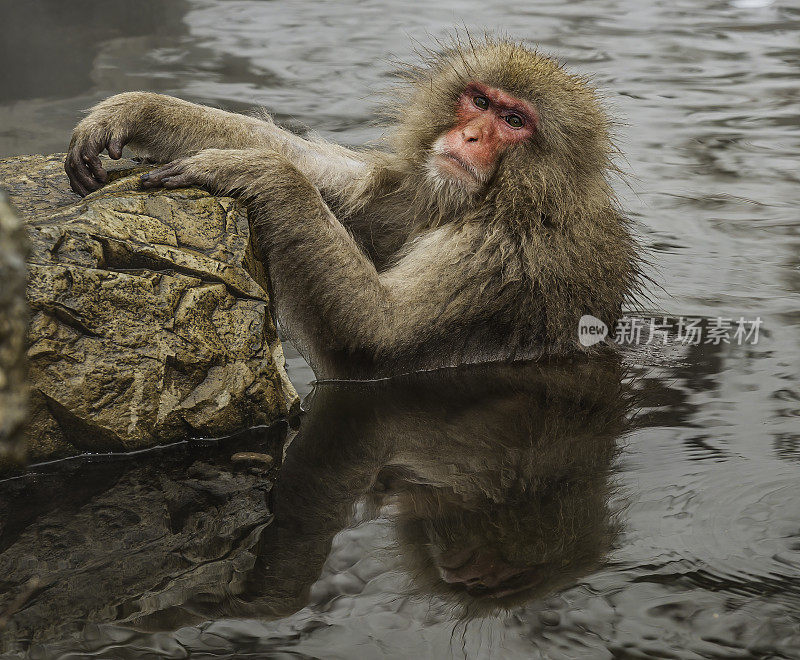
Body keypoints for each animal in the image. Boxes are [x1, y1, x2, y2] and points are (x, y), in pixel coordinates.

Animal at [65, 38, 640, 378]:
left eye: (515, 121)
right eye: (480, 102)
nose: (472, 136)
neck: (511, 196)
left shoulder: (506, 252)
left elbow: (377, 338)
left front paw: (262, 173)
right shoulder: (418, 192)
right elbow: (339, 181)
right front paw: (142, 110)